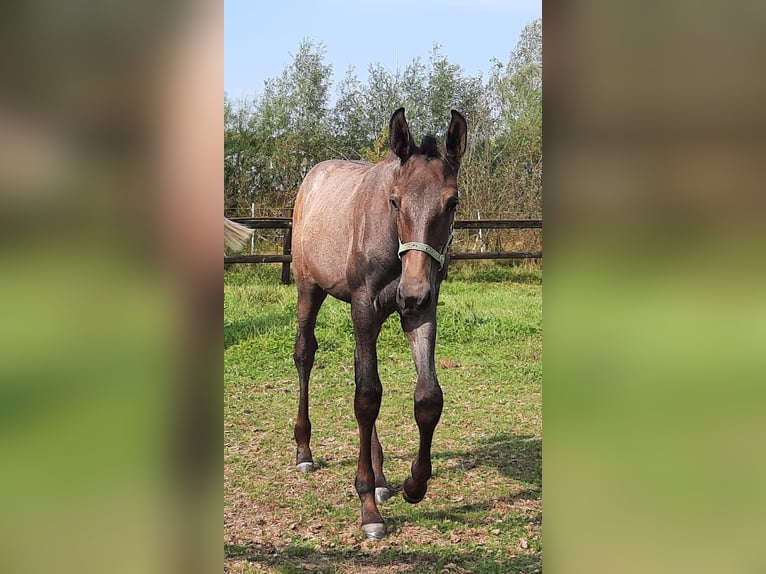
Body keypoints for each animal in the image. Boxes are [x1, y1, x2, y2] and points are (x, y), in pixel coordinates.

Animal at [290, 107, 464, 540]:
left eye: (452, 201)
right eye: (395, 200)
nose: (412, 291)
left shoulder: (419, 312)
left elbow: (427, 397)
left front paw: (414, 484)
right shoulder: (365, 306)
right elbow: (367, 398)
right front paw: (368, 508)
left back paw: (384, 478)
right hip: (309, 289)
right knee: (305, 354)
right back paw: (304, 451)